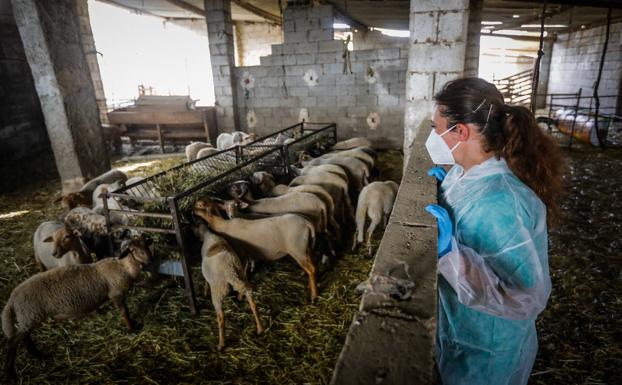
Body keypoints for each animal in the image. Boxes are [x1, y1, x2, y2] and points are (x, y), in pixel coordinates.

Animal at [2, 236, 152, 376]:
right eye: (133, 250)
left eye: (146, 245)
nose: (150, 260)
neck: (123, 267)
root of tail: (12, 298)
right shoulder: (116, 293)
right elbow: (124, 312)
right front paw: (132, 329)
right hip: (30, 315)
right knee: (13, 341)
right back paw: (10, 371)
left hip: (27, 318)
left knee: (24, 338)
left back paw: (37, 355)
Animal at [195, 222, 264, 352]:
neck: (208, 233)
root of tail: (230, 271)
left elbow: (205, 280)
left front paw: (205, 291)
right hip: (243, 279)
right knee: (253, 304)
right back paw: (260, 328)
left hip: (218, 291)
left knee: (221, 317)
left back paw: (221, 344)